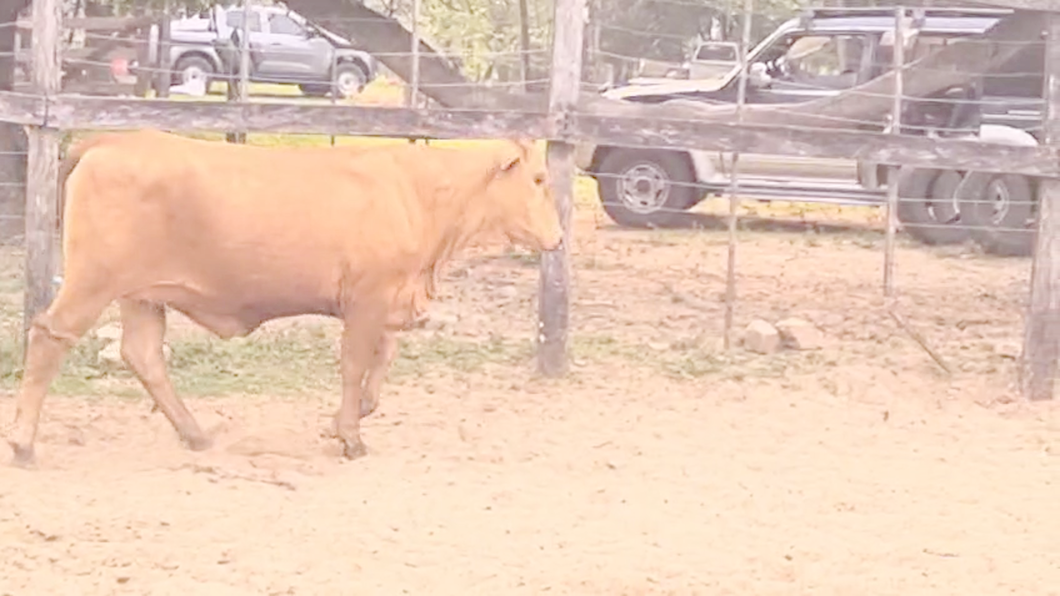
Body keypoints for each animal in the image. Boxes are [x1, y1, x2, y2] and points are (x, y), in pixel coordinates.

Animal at [6, 129, 563, 464]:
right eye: (538, 178)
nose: (558, 238)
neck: (418, 192)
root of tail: (115, 139)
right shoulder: (367, 298)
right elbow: (356, 364)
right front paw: (350, 434)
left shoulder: (385, 299)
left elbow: (382, 361)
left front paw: (355, 414)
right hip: (92, 280)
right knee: (49, 336)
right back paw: (23, 441)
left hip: (142, 294)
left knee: (142, 355)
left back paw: (196, 434)